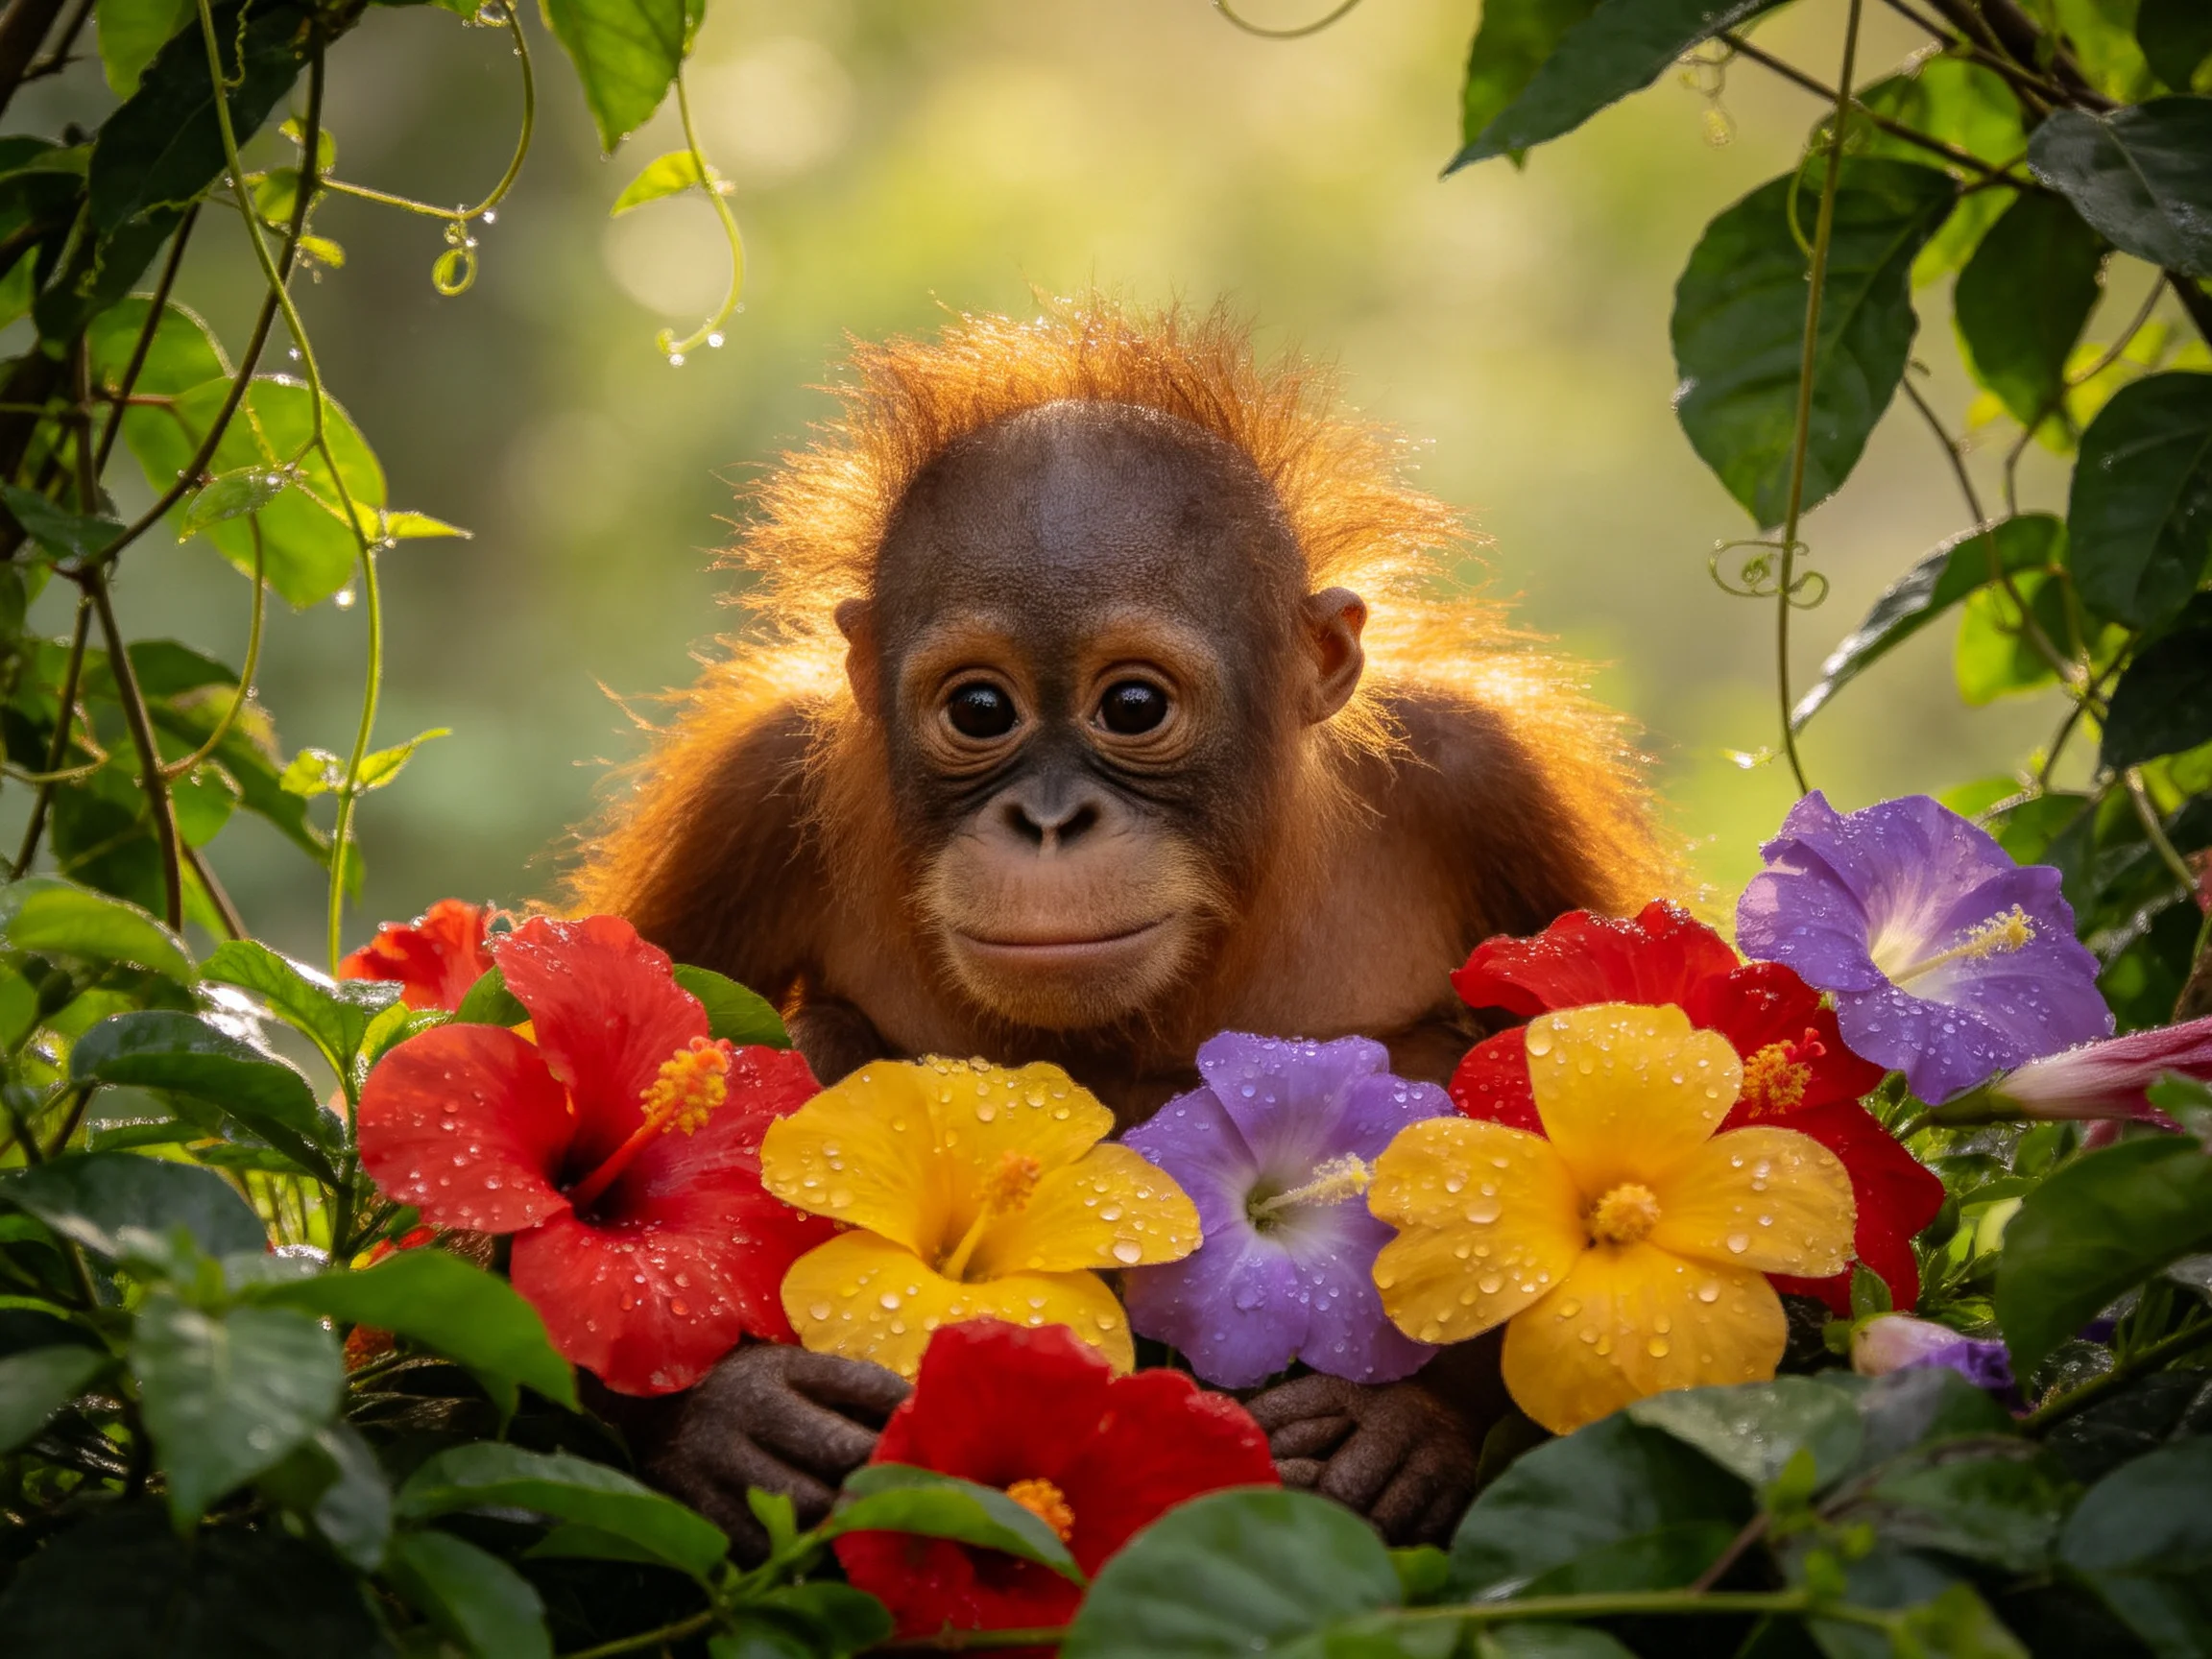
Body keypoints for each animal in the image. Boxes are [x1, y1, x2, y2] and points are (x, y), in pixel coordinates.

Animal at [569, 302, 1674, 1556]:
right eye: (980, 710)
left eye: (1133, 706)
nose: (1051, 821)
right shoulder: (750, 789)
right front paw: (737, 1421)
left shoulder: (1490, 777)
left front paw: (1397, 1436)